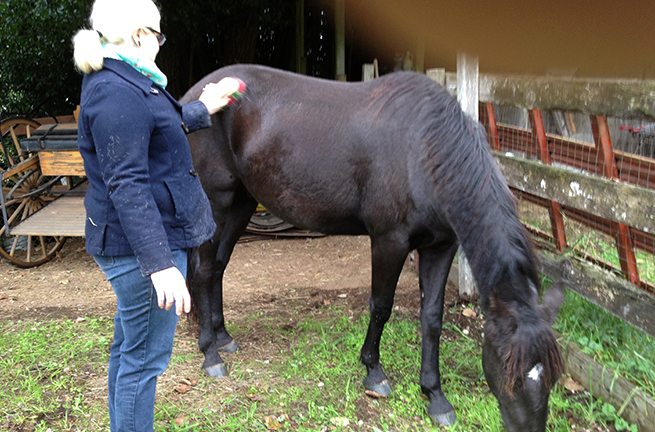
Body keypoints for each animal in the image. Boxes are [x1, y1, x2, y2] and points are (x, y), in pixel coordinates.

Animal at [182, 65, 568, 432]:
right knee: (203, 271)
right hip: (217, 201)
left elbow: (432, 318)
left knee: (218, 267)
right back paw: (211, 355)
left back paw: (223, 337)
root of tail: (190, 98)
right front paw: (374, 372)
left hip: (242, 202)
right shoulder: (389, 241)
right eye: (507, 368)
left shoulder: (441, 246)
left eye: (551, 376)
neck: (424, 149)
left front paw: (435, 396)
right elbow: (381, 307)